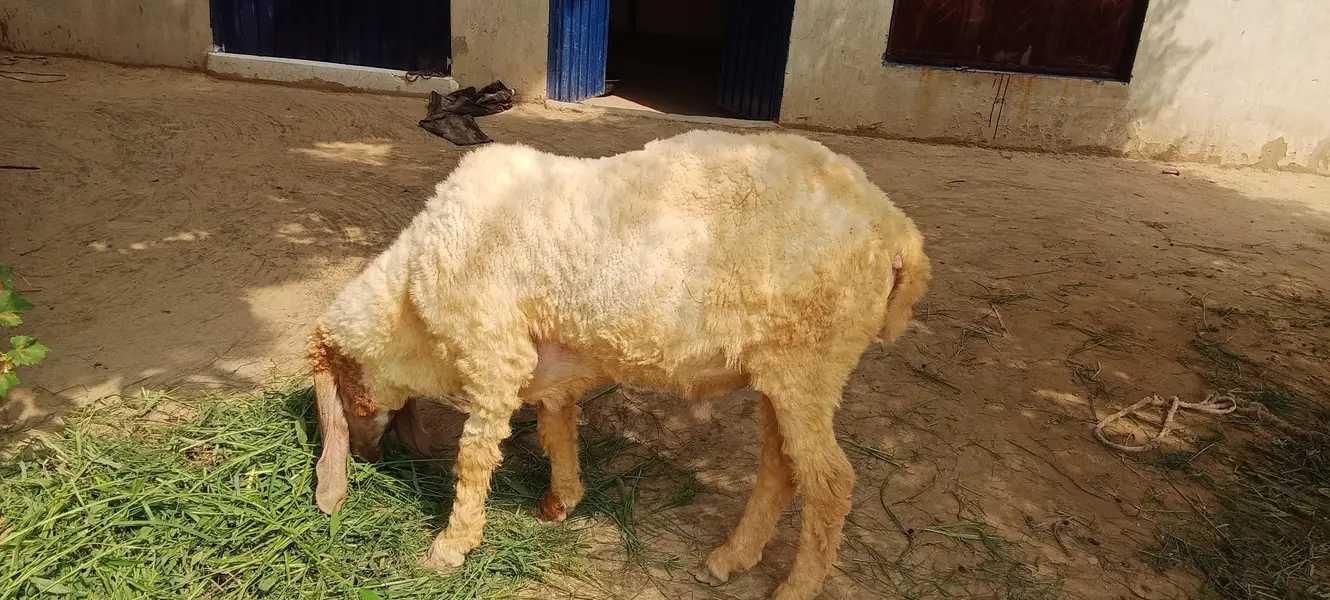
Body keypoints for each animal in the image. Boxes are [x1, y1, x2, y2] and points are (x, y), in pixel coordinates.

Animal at [307, 129, 930, 600]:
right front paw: (561, 501)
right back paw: (730, 559)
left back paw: (795, 587)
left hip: (811, 362)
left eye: (348, 397)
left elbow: (475, 456)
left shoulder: (493, 353)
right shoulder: (551, 365)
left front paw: (450, 547)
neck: (410, 299)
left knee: (830, 480)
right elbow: (557, 427)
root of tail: (897, 231)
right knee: (781, 465)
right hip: (781, 371)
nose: (364, 456)